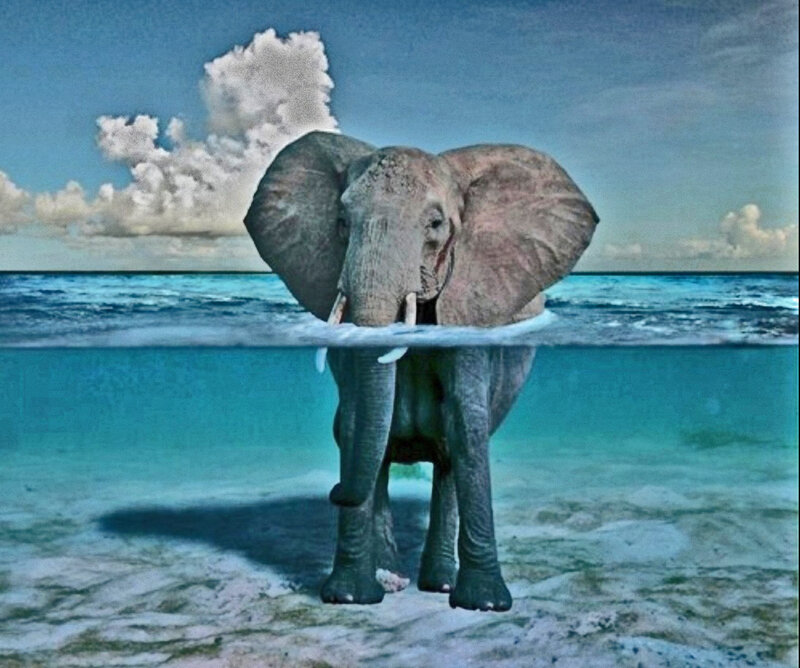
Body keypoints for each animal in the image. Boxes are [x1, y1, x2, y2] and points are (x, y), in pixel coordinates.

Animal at [243, 131, 598, 611]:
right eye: (341, 221)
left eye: (435, 225)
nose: (334, 492)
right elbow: (355, 422)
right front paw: (351, 598)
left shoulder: (471, 311)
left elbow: (466, 424)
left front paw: (485, 605)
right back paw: (391, 578)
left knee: (449, 458)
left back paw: (440, 586)